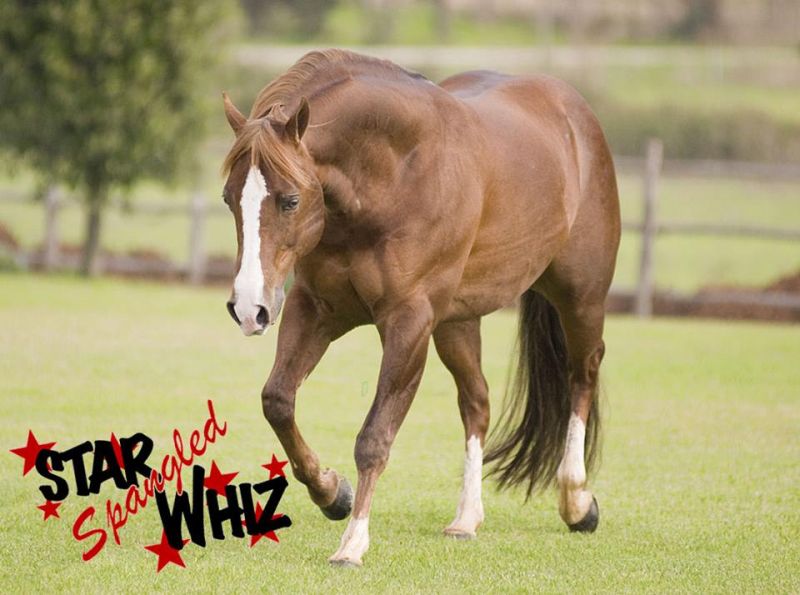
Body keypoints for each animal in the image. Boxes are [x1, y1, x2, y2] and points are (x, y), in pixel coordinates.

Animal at [220, 49, 620, 567]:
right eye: (229, 199)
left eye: (289, 200)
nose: (249, 307)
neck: (394, 175)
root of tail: (576, 116)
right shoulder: (316, 309)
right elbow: (278, 401)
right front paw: (331, 492)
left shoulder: (408, 323)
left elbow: (374, 438)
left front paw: (352, 541)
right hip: (457, 322)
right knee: (477, 402)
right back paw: (466, 518)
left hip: (581, 297)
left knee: (582, 376)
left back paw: (576, 502)